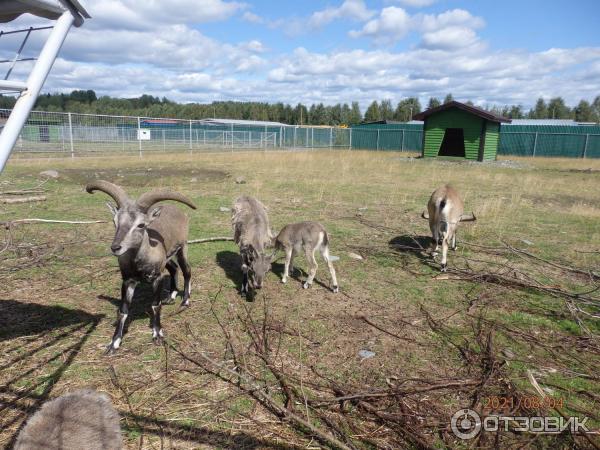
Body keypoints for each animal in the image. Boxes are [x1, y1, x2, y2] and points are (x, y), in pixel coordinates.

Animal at [86, 178, 197, 352]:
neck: (139, 264)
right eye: (115, 221)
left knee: (187, 270)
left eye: (141, 225)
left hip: (182, 247)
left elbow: (155, 305)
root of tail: (180, 212)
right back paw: (171, 296)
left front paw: (157, 334)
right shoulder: (128, 280)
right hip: (167, 257)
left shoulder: (157, 277)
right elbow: (123, 310)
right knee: (174, 268)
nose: (116, 247)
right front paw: (114, 343)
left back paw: (185, 301)